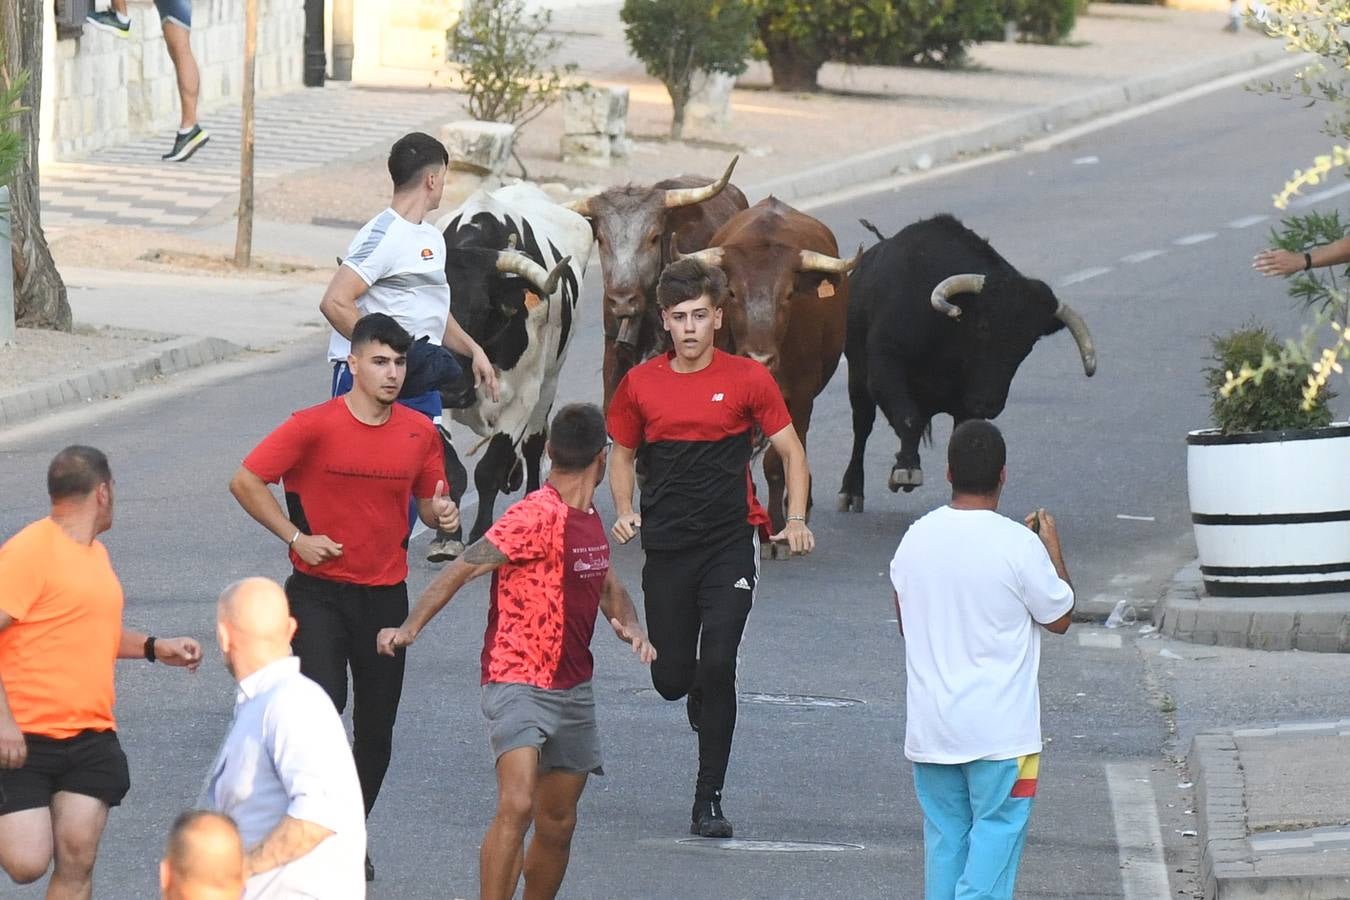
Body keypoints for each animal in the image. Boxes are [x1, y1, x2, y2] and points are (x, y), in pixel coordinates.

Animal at [680, 198, 858, 555]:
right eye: (732, 293)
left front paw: (779, 531)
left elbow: (780, 462)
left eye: (788, 294)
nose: (759, 359)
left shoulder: (800, 396)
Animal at [837, 215, 1090, 512]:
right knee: (862, 427)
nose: (989, 404)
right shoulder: (885, 365)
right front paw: (906, 470)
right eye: (982, 327)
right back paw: (851, 491)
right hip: (857, 380)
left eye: (1027, 344)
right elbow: (908, 419)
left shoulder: (966, 405)